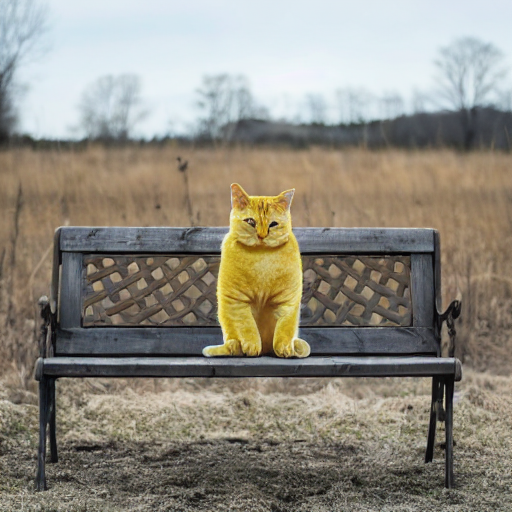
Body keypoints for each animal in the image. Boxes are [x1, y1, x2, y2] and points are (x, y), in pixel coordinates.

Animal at [202, 182, 310, 358]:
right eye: (251, 222)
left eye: (273, 224)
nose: (262, 235)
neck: (262, 255)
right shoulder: (237, 301)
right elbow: (248, 327)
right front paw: (252, 347)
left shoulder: (288, 301)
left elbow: (285, 328)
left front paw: (284, 348)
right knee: (233, 339)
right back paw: (235, 347)